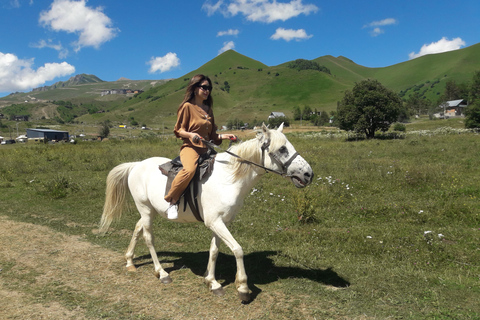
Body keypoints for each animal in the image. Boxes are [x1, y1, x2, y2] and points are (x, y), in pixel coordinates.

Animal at [99, 124, 314, 302]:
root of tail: (136, 165)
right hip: (144, 208)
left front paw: (212, 282)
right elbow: (238, 249)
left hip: (148, 211)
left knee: (137, 228)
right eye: (282, 149)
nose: (308, 174)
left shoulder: (221, 222)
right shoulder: (215, 222)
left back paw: (129, 261)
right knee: (148, 237)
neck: (227, 179)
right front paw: (243, 287)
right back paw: (161, 273)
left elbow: (214, 250)